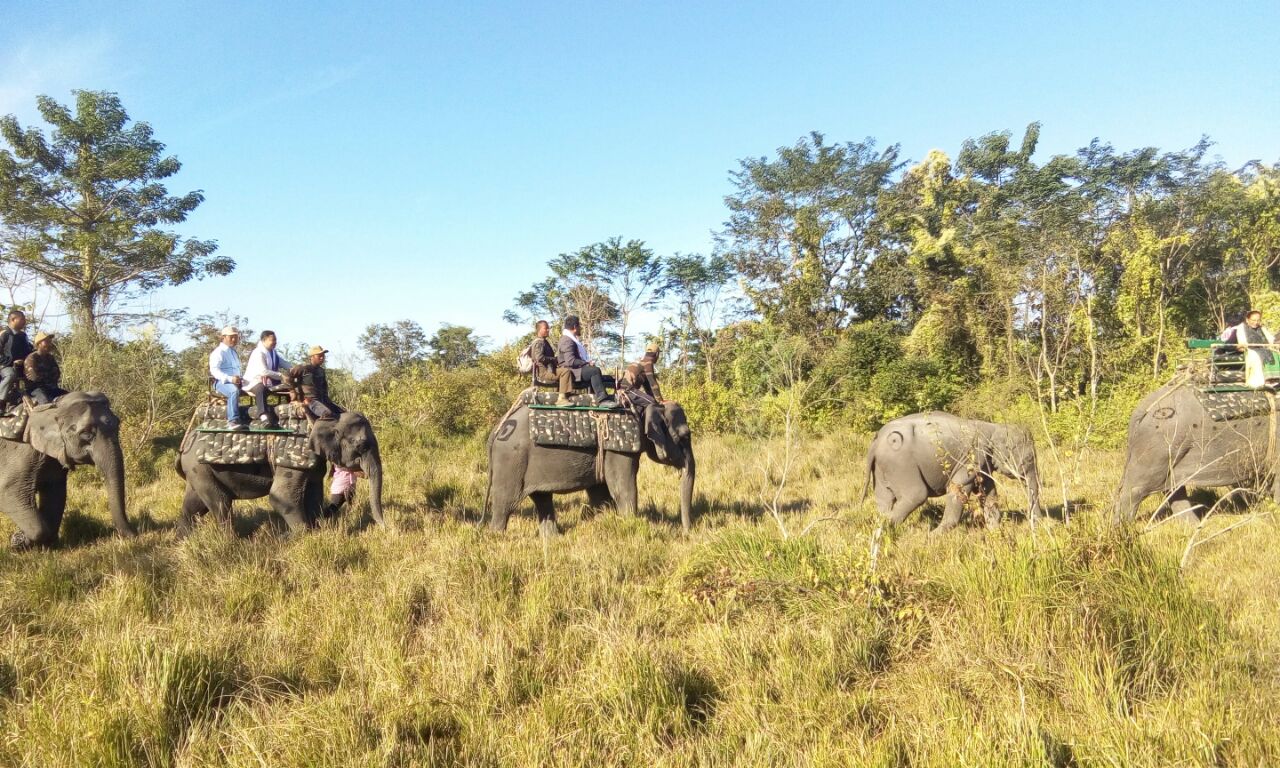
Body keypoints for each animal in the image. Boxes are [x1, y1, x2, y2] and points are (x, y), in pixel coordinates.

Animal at [0, 394, 135, 547]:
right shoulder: (22, 454)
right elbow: (9, 493)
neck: (52, 407)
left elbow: (55, 494)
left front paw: (39, 543)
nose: (134, 535)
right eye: (86, 434)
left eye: (118, 423)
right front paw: (18, 542)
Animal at [176, 412, 384, 537]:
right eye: (362, 446)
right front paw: (300, 536)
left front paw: (317, 530)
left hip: (198, 473)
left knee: (193, 506)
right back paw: (232, 541)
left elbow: (314, 494)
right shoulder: (292, 458)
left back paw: (183, 540)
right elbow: (281, 497)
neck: (324, 418)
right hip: (200, 468)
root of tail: (184, 445)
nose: (385, 527)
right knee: (220, 504)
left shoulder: (312, 464)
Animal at [483, 396, 696, 535]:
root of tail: (497, 429)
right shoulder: (619, 450)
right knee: (505, 502)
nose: (686, 534)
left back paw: (553, 540)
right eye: (685, 436)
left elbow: (600, 492)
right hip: (511, 462)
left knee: (542, 498)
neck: (643, 406)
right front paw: (630, 526)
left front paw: (606, 522)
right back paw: (497, 537)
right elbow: (622, 488)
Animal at [865, 412, 1044, 529]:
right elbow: (958, 486)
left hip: (883, 469)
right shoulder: (973, 457)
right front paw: (934, 536)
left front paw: (995, 531)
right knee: (916, 494)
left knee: (884, 498)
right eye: (1029, 459)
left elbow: (988, 491)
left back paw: (879, 529)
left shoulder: (982, 463)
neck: (994, 427)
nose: (1037, 523)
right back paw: (886, 529)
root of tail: (876, 442)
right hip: (902, 464)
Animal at [1116, 378, 1274, 522]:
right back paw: (1123, 529)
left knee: (1172, 488)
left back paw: (1193, 526)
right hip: (1158, 446)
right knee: (1136, 490)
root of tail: (1142, 407)